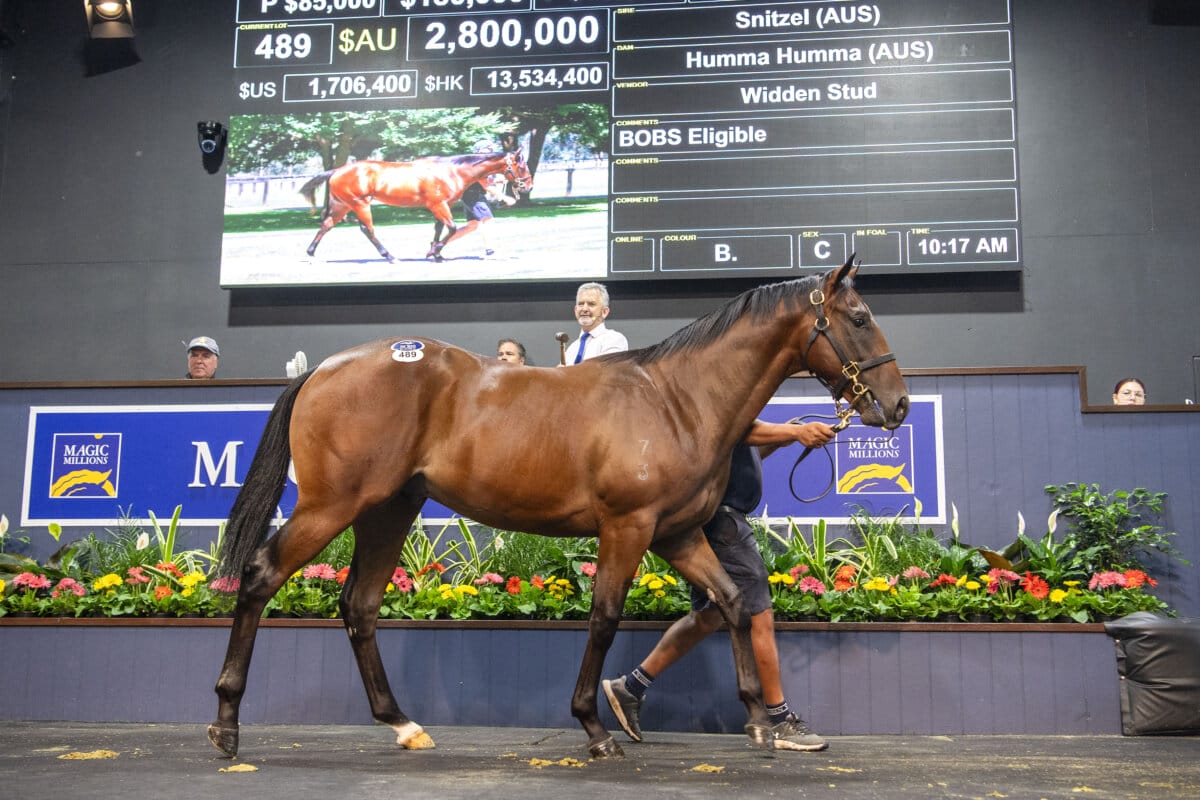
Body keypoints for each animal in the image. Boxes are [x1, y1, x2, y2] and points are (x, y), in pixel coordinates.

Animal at [206, 260, 902, 762]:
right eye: (860, 316)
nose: (896, 405)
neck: (675, 400)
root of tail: (322, 367)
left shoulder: (676, 534)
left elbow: (731, 602)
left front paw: (759, 721)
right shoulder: (628, 527)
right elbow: (604, 618)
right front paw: (595, 728)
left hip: (389, 509)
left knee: (359, 604)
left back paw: (402, 725)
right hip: (334, 505)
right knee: (262, 577)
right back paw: (227, 725)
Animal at [298, 149, 530, 262]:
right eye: (521, 166)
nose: (528, 186)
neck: (450, 170)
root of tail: (336, 171)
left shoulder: (442, 205)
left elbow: (439, 228)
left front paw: (437, 254)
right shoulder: (438, 204)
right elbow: (451, 228)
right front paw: (433, 252)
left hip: (343, 205)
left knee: (326, 225)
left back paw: (310, 253)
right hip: (360, 204)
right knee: (367, 229)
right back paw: (389, 256)